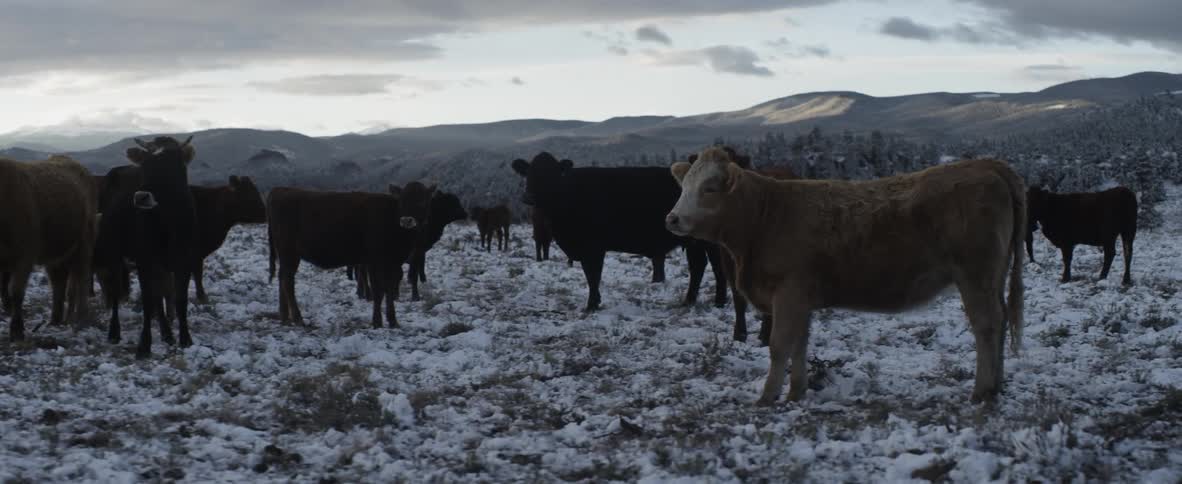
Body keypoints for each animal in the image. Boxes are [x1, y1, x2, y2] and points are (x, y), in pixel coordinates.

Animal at [0, 155, 97, 341]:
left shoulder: (25, 255)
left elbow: (16, 291)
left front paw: (17, 330)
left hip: (84, 242)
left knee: (82, 277)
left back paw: (81, 318)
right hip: (57, 252)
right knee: (58, 282)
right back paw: (55, 320)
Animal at [93, 136, 199, 358]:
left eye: (172, 167)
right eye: (145, 167)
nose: (140, 196)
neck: (169, 223)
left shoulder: (184, 259)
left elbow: (180, 298)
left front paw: (185, 339)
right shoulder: (144, 259)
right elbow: (147, 300)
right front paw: (144, 345)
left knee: (158, 295)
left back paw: (167, 334)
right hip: (114, 252)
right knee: (115, 290)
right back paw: (114, 332)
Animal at [267, 187, 418, 328]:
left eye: (421, 200)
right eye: (402, 201)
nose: (407, 220)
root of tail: (280, 190)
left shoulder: (393, 264)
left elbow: (389, 290)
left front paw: (393, 321)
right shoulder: (376, 263)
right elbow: (379, 291)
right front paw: (377, 322)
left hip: (286, 256)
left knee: (282, 278)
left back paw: (285, 317)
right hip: (289, 254)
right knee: (288, 281)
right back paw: (298, 318)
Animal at [512, 152, 726, 312]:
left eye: (551, 174)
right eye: (529, 173)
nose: (529, 197)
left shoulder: (593, 247)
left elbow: (593, 275)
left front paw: (591, 305)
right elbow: (590, 275)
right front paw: (595, 301)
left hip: (710, 241)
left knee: (716, 266)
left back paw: (719, 302)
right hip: (693, 241)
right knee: (698, 265)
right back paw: (688, 301)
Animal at [666, 147, 1026, 404]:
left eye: (710, 187)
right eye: (684, 185)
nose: (672, 218)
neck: (765, 215)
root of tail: (988, 165)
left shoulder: (788, 292)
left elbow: (780, 345)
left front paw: (767, 398)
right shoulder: (801, 299)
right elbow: (800, 345)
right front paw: (796, 393)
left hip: (975, 274)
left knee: (986, 324)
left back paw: (981, 391)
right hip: (993, 276)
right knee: (1001, 318)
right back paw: (998, 387)